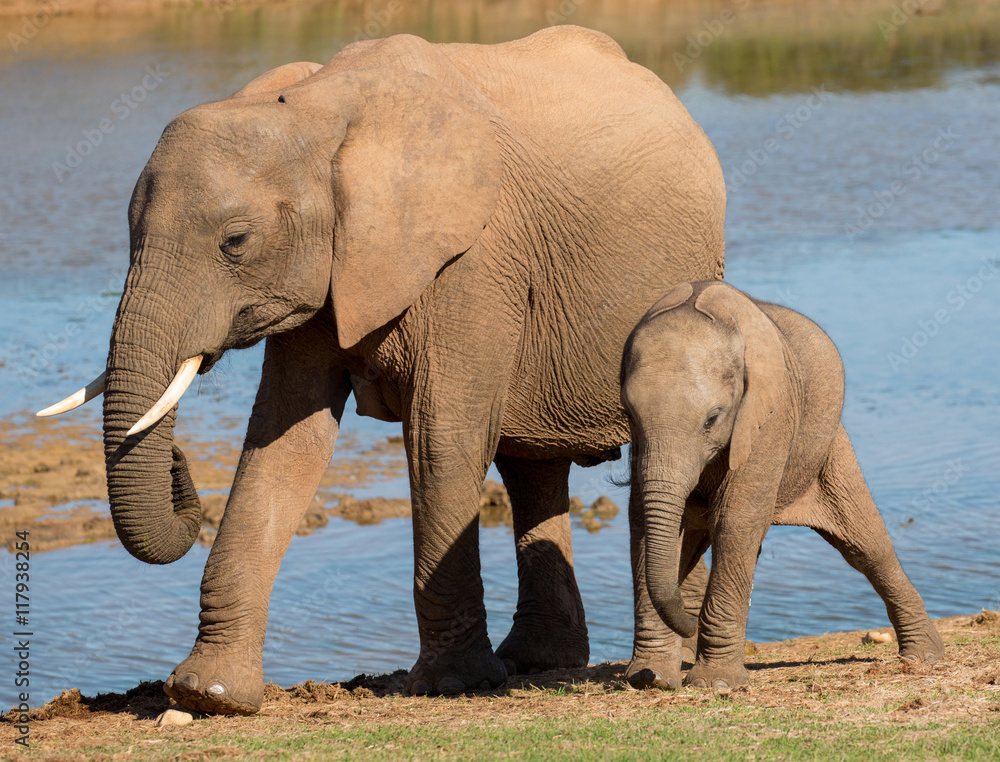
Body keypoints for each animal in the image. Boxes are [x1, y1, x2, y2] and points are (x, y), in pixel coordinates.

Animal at [37, 26, 726, 715]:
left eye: (235, 242)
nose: (179, 460)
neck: (315, 110)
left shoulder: (472, 258)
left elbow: (440, 441)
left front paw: (453, 685)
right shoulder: (330, 272)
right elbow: (282, 442)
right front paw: (209, 694)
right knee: (530, 464)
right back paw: (537, 661)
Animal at [619, 280, 945, 691]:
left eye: (712, 419)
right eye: (629, 414)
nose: (690, 624)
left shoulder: (770, 416)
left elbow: (737, 521)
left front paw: (715, 685)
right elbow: (643, 521)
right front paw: (651, 678)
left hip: (828, 447)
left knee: (867, 547)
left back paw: (924, 657)